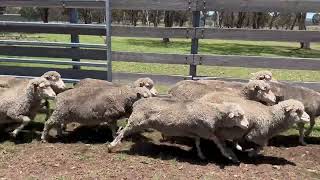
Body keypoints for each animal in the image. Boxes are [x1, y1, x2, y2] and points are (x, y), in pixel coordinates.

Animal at [106, 97, 249, 163]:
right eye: (239, 116)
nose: (247, 125)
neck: (213, 112)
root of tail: (138, 103)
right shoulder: (207, 132)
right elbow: (220, 142)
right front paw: (229, 155)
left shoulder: (197, 132)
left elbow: (198, 143)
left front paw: (201, 155)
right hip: (136, 121)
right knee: (123, 132)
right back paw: (112, 145)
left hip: (137, 122)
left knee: (123, 130)